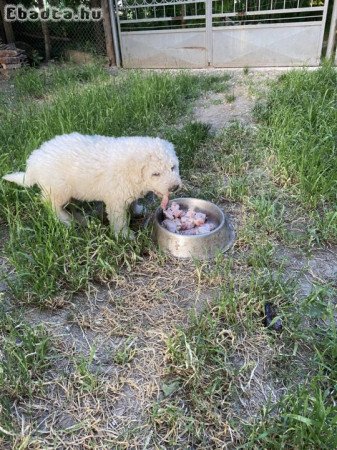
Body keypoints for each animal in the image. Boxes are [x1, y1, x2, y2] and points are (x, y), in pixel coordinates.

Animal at [2, 133, 181, 236]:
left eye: (173, 167)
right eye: (155, 174)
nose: (174, 187)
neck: (131, 172)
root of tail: (33, 161)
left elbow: (133, 202)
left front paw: (137, 210)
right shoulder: (116, 200)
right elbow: (119, 220)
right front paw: (125, 236)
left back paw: (83, 220)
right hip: (58, 189)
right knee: (50, 204)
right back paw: (66, 220)